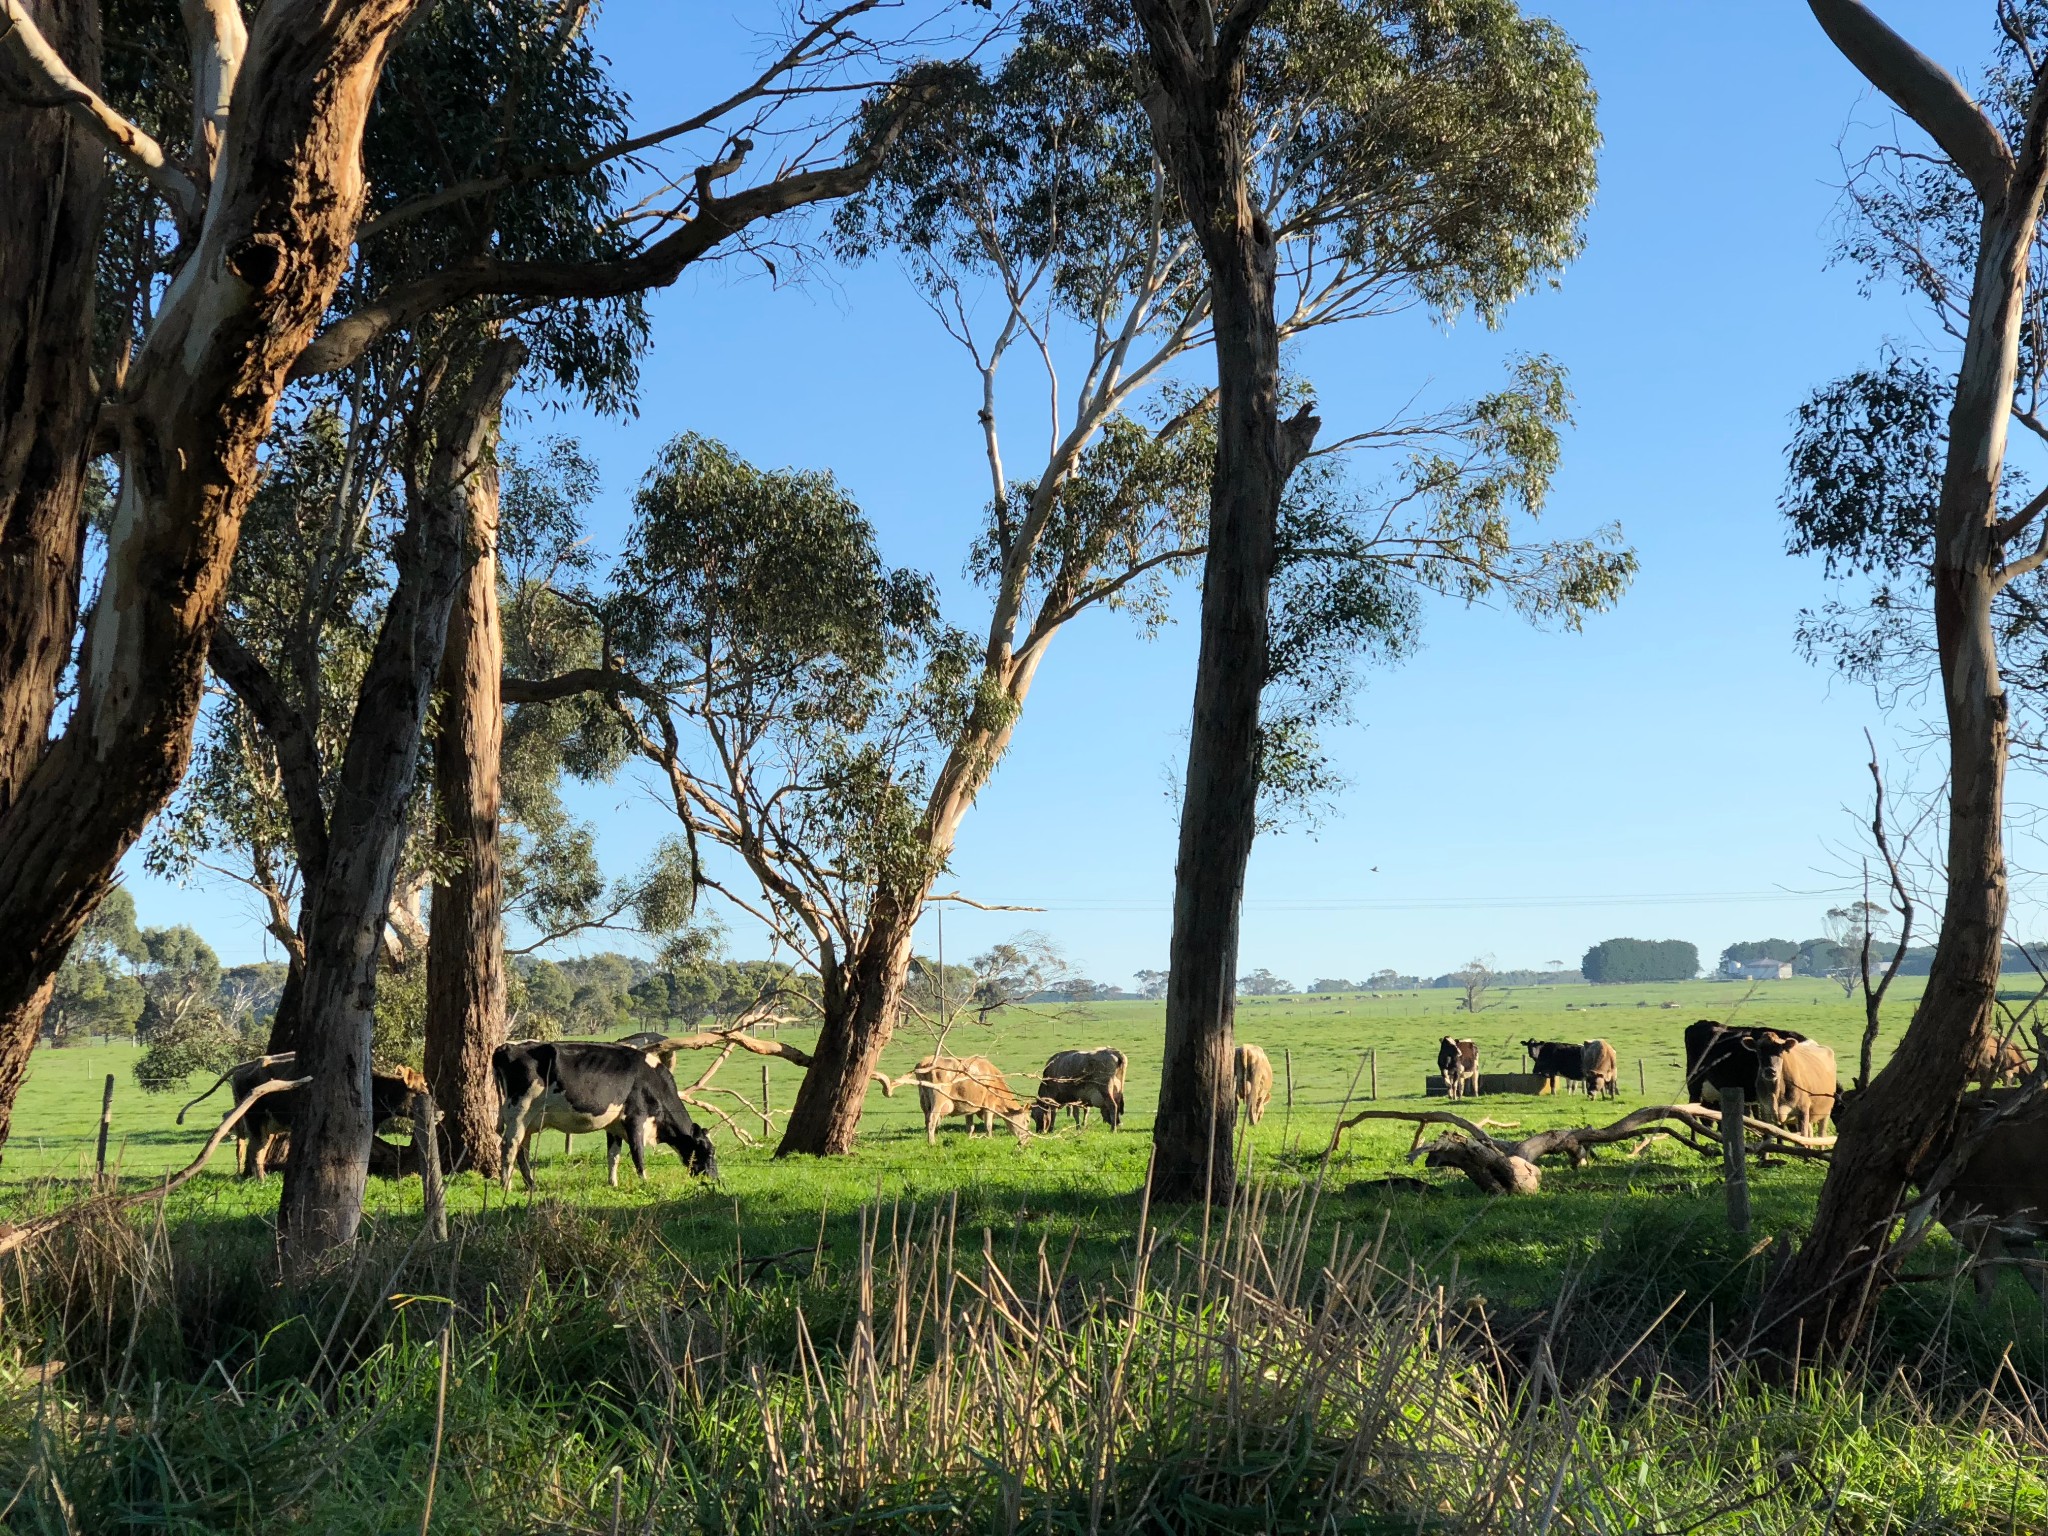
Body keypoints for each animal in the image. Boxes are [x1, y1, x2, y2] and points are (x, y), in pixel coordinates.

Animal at [493, 1040, 720, 1196]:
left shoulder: (614, 1125)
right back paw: (506, 1186)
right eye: (708, 1151)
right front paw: (644, 1182)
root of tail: (507, 1047)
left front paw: (613, 1183)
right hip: (519, 1112)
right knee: (509, 1146)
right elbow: (638, 1154)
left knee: (522, 1150)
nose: (715, 1179)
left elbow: (613, 1156)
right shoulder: (635, 1118)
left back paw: (531, 1184)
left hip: (528, 1121)